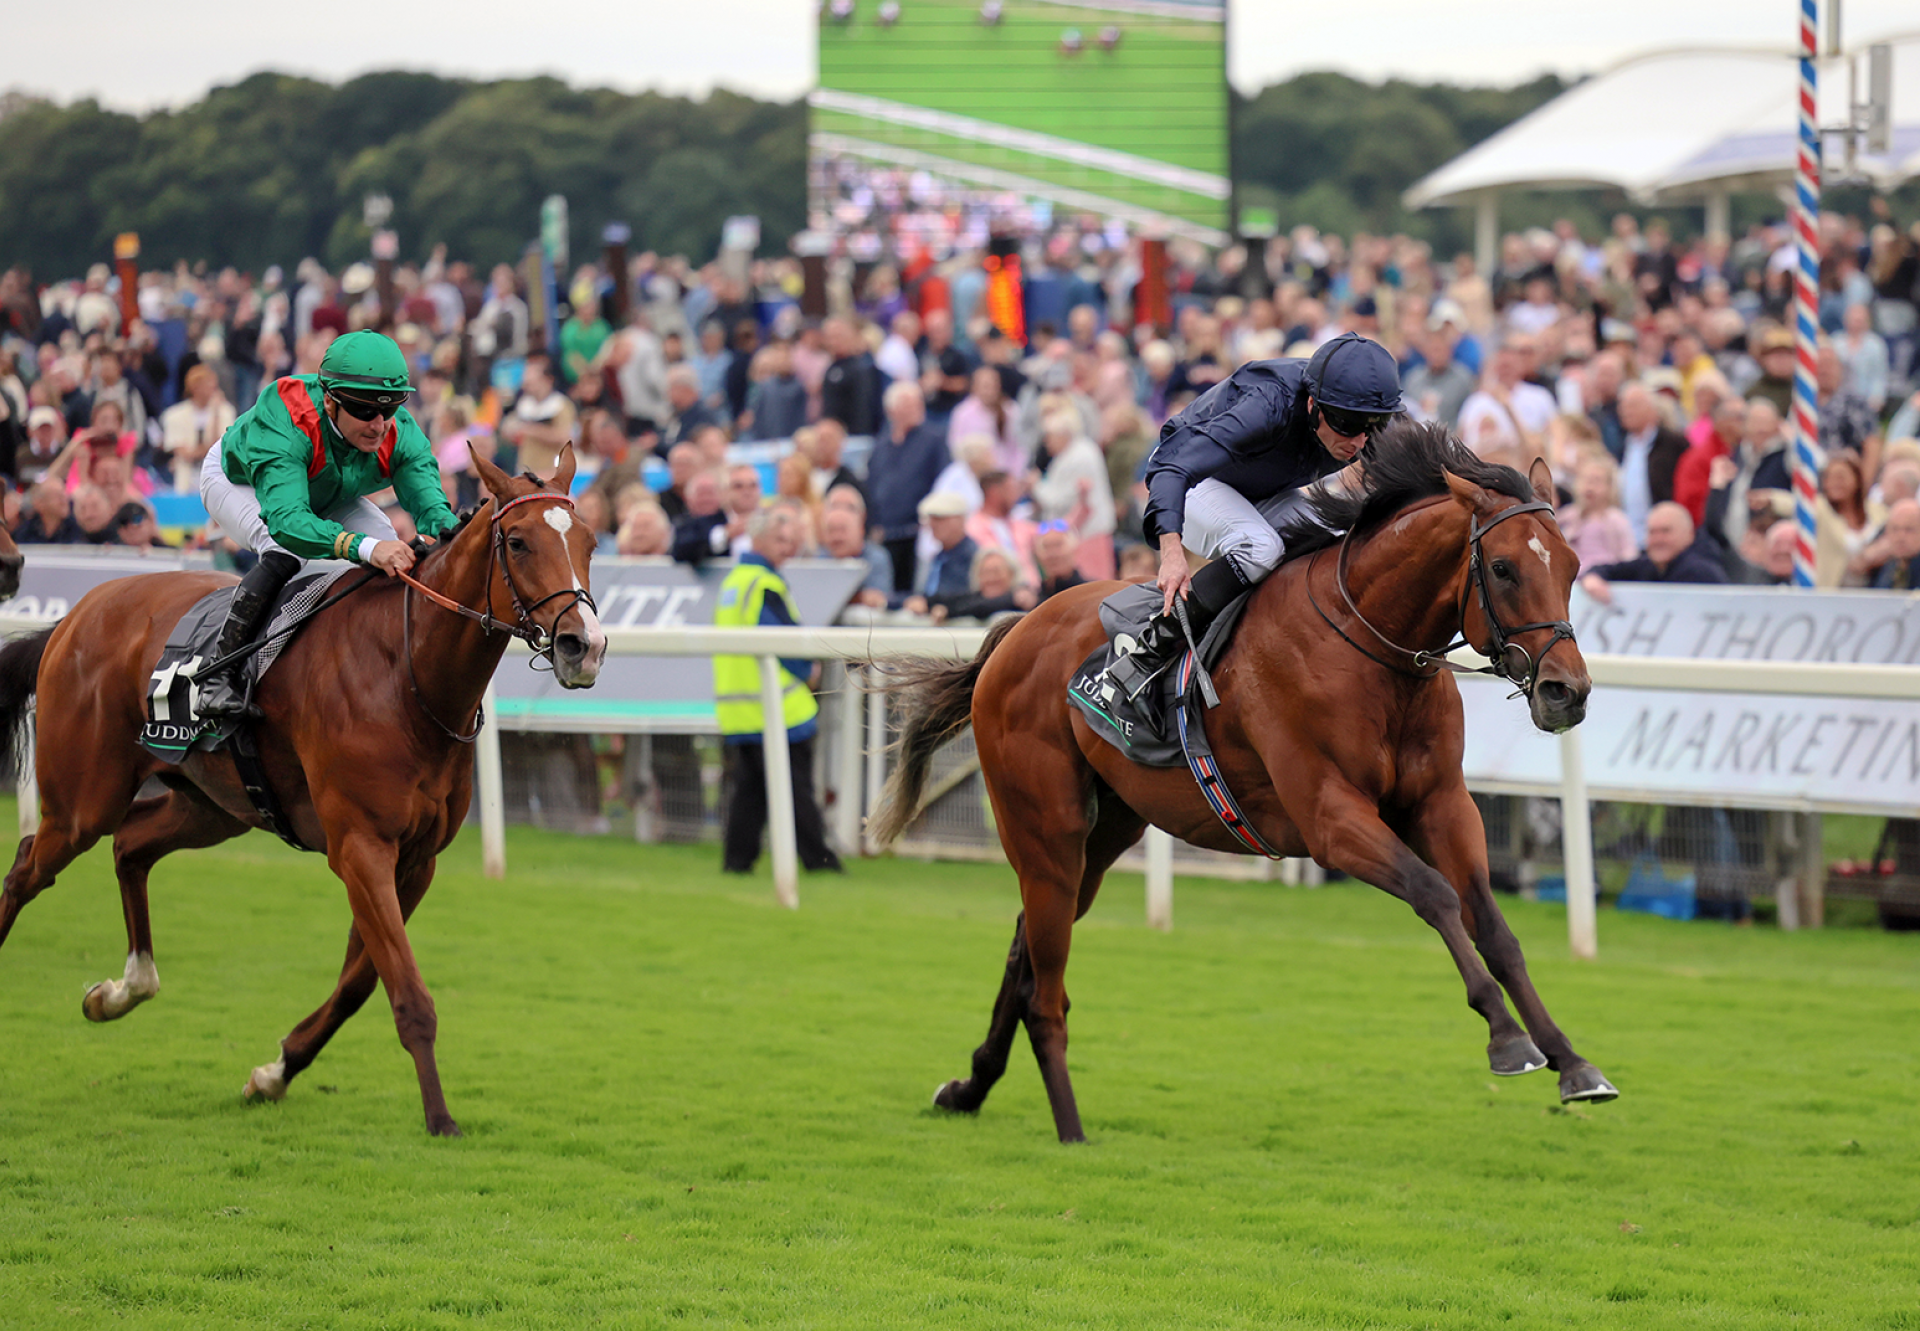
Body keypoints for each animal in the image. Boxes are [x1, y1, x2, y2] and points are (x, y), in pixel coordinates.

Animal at [0, 445, 606, 1129]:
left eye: (589, 540)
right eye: (519, 541)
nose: (584, 646)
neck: (407, 675)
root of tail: (74, 616)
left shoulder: (414, 860)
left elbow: (361, 983)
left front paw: (275, 1071)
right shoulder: (360, 848)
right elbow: (407, 992)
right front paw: (440, 1118)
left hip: (211, 806)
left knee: (130, 847)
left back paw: (124, 990)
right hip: (84, 800)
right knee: (27, 868)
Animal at [871, 422, 1620, 1144]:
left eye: (1574, 566)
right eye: (1503, 567)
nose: (1567, 691)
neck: (1371, 648)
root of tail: (1018, 629)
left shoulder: (1441, 803)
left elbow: (1492, 926)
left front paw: (1573, 1062)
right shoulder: (1330, 818)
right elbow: (1435, 895)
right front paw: (1507, 1037)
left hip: (1103, 833)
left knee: (1024, 951)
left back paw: (970, 1087)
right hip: (1044, 827)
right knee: (1042, 978)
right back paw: (1066, 1126)